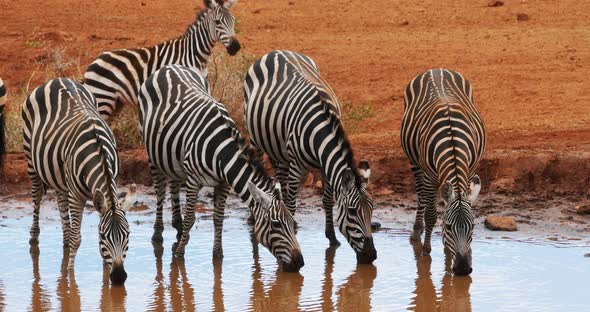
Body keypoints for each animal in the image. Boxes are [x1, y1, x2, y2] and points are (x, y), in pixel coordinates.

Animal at [22, 78, 134, 286]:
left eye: (128, 235)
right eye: (104, 236)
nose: (118, 277)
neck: (98, 152)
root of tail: (58, 79)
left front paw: (104, 275)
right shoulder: (77, 196)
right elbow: (77, 238)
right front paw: (70, 276)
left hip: (59, 173)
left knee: (60, 201)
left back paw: (64, 241)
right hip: (30, 158)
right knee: (37, 196)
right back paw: (34, 238)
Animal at [83, 0, 240, 119]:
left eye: (233, 21)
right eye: (217, 22)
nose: (235, 47)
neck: (195, 55)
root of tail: (94, 62)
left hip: (115, 103)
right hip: (102, 100)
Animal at [139, 64, 306, 272]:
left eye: (293, 223)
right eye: (276, 225)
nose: (299, 262)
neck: (221, 152)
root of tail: (169, 67)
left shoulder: (224, 183)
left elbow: (218, 218)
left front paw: (218, 256)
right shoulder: (193, 181)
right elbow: (190, 219)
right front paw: (179, 255)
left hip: (173, 157)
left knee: (174, 184)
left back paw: (177, 228)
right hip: (152, 154)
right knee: (160, 192)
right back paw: (158, 234)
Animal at [245, 50, 380, 264]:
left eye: (372, 208)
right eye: (352, 212)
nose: (370, 255)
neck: (320, 128)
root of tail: (276, 51)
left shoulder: (326, 167)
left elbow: (327, 200)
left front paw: (332, 237)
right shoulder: (297, 166)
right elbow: (292, 202)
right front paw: (291, 230)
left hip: (280, 149)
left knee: (280, 175)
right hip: (256, 139)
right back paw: (253, 216)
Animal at [402, 69, 490, 276]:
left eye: (472, 227)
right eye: (450, 227)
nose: (463, 269)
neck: (452, 143)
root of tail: (436, 69)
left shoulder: (469, 170)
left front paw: (449, 251)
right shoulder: (428, 177)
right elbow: (431, 215)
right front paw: (426, 250)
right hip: (415, 163)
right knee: (420, 196)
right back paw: (417, 231)